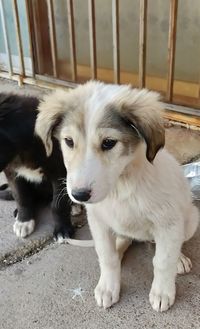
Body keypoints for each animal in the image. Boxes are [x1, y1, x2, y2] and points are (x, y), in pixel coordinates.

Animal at [0, 92, 74, 238]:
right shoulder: (12, 172)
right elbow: (21, 197)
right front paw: (24, 221)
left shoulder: (59, 171)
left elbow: (58, 205)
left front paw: (62, 230)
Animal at [35, 80, 198, 312]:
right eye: (68, 141)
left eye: (109, 143)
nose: (79, 195)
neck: (121, 185)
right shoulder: (98, 222)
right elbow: (107, 256)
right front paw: (108, 287)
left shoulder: (169, 223)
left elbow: (162, 260)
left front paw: (162, 291)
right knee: (122, 242)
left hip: (191, 219)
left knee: (174, 244)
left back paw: (180, 260)